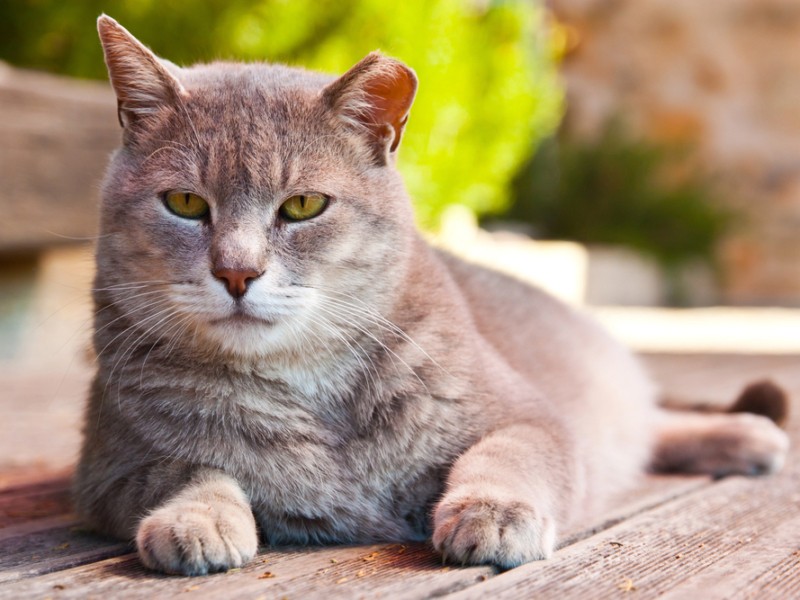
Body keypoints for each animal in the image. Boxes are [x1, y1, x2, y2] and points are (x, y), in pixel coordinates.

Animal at [76, 15, 792, 576]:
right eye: (185, 203)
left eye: (303, 206)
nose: (236, 273)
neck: (305, 386)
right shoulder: (108, 469)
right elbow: (189, 468)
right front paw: (196, 519)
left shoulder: (531, 416)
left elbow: (507, 454)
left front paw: (493, 512)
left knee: (648, 419)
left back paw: (746, 435)